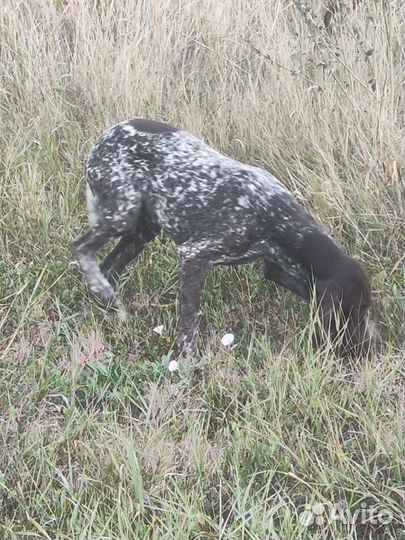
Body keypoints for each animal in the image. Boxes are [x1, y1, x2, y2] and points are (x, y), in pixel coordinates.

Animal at [71, 118, 374, 354]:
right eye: (355, 310)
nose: (368, 348)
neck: (277, 216)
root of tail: (104, 137)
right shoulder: (194, 256)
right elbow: (189, 321)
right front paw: (190, 359)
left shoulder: (278, 268)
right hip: (122, 215)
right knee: (81, 248)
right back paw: (102, 289)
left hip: (141, 231)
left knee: (108, 266)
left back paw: (107, 300)